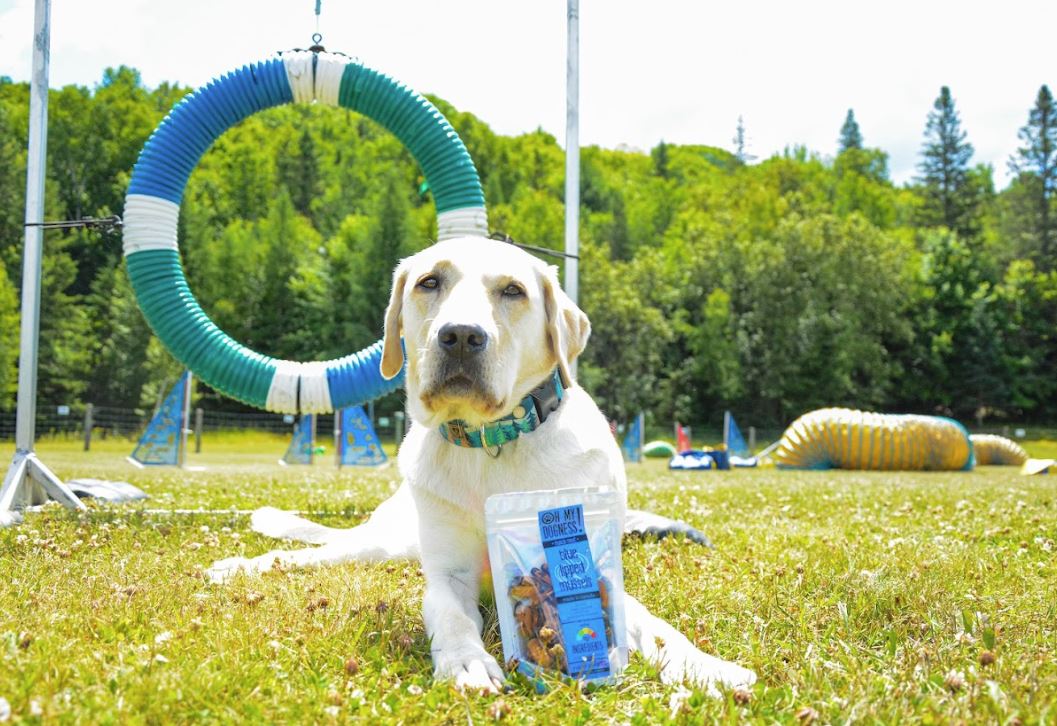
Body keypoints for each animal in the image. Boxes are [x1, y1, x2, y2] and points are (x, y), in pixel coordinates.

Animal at [206, 236, 756, 693]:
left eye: (513, 291)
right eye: (430, 282)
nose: (461, 336)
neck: (493, 441)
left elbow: (660, 630)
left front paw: (708, 667)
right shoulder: (447, 576)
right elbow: (452, 619)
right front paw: (468, 664)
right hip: (381, 544)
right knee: (307, 554)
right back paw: (236, 566)